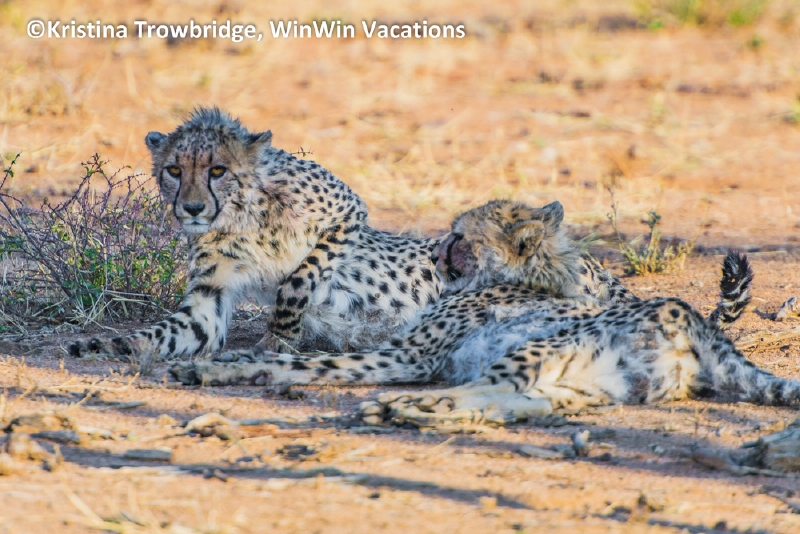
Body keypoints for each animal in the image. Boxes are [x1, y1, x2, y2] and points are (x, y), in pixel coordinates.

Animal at [167, 199, 777, 426]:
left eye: (462, 233)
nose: (439, 245)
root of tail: (689, 320)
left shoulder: (400, 357)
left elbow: (300, 363)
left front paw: (213, 368)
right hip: (589, 384)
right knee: (518, 403)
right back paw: (411, 411)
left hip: (544, 346)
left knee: (487, 389)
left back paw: (399, 407)